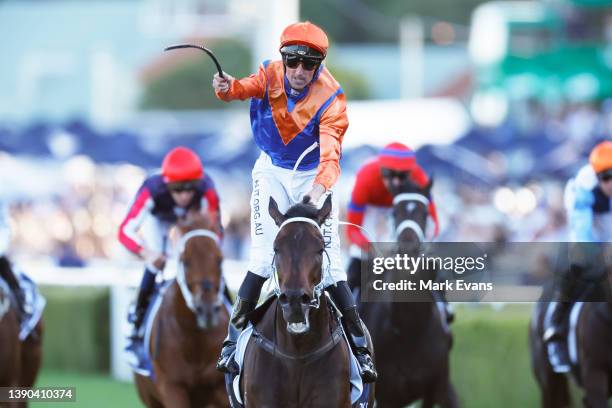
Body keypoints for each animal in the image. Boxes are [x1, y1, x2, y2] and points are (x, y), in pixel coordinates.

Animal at [134, 215, 230, 406]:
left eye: (219, 260)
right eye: (185, 262)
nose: (207, 309)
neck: (195, 338)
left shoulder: (221, 389)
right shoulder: (172, 387)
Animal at [358, 180, 460, 408]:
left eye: (424, 213)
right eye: (395, 212)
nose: (408, 245)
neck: (409, 327)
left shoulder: (433, 386)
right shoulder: (387, 393)